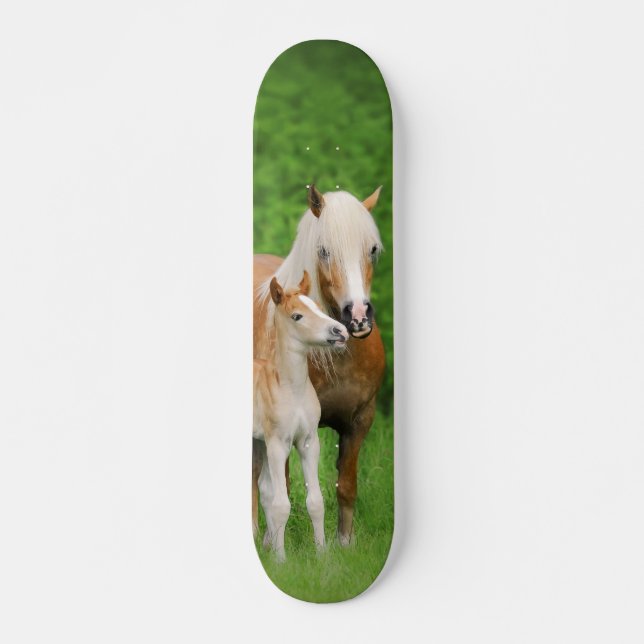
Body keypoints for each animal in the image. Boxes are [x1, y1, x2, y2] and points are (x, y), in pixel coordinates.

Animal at [253, 271, 349, 561]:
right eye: (297, 316)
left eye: (318, 307)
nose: (341, 332)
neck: (291, 388)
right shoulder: (277, 444)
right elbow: (281, 504)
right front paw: (281, 560)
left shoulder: (308, 442)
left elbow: (315, 501)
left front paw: (322, 555)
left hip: (258, 442)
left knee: (263, 488)